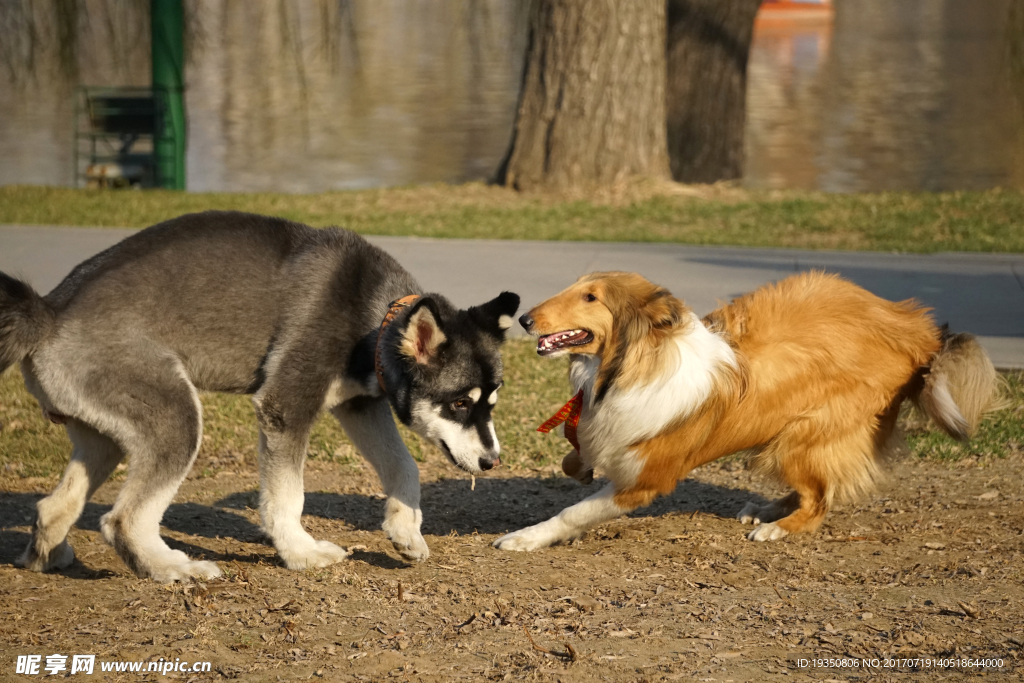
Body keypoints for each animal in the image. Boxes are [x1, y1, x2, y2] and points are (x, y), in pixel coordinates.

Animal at [495, 270, 999, 548]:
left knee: (821, 498)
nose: (524, 318)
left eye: (591, 297)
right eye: (577, 287)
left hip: (799, 436)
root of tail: (916, 331)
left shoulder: (646, 481)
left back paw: (778, 528)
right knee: (816, 488)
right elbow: (576, 458)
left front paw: (525, 538)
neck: (628, 367)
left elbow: (574, 512)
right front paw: (578, 466)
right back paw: (767, 509)